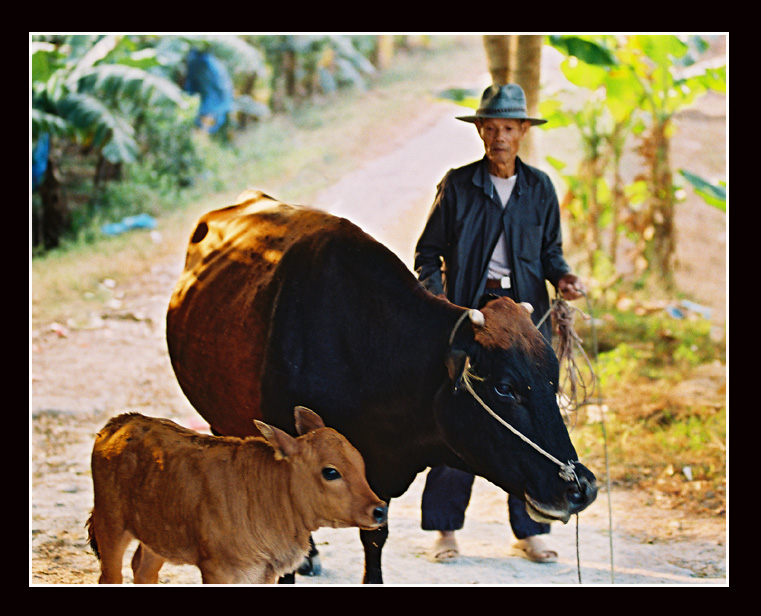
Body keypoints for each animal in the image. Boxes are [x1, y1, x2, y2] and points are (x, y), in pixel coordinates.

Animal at [86, 406, 388, 584]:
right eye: (330, 472)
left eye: (360, 463)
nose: (379, 509)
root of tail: (122, 422)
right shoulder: (218, 571)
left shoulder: (264, 572)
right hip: (110, 524)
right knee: (111, 575)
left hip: (156, 536)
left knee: (143, 570)